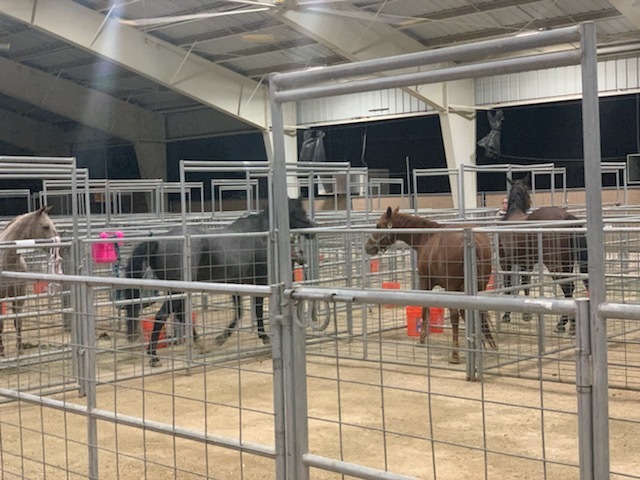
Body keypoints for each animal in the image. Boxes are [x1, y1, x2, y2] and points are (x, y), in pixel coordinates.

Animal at [0, 206, 61, 356]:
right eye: (45, 226)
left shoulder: (19, 295)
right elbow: (1, 325)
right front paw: (2, 352)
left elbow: (18, 321)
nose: (59, 250)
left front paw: (20, 349)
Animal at [122, 197, 316, 366]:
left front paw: (221, 338)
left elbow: (239, 312)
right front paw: (264, 337)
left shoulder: (236, 284)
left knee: (181, 314)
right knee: (163, 315)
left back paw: (199, 345)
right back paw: (153, 356)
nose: (313, 228)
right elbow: (257, 310)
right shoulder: (259, 282)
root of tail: (158, 242)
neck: (262, 236)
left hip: (177, 290)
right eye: (301, 211)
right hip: (177, 290)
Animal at [364, 206, 496, 364]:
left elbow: (424, 309)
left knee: (455, 316)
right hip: (479, 285)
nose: (368, 247)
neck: (426, 238)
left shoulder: (425, 281)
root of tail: (474, 242)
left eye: (378, 226)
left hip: (453, 287)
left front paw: (421, 339)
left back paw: (455, 354)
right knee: (479, 312)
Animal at [500, 177, 592, 334]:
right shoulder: (526, 263)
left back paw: (564, 325)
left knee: (567, 287)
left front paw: (507, 315)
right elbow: (526, 284)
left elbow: (509, 285)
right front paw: (526, 314)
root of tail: (566, 216)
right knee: (569, 287)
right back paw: (568, 324)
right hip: (567, 263)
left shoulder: (505, 261)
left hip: (554, 264)